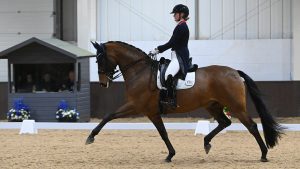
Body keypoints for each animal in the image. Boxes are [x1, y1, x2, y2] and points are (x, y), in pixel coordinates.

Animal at [86, 40, 284, 162]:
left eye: (100, 59)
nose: (103, 83)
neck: (139, 71)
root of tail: (235, 72)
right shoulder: (149, 111)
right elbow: (162, 132)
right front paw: (170, 155)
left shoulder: (138, 107)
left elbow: (110, 115)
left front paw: (90, 137)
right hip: (213, 106)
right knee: (224, 122)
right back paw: (206, 142)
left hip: (236, 106)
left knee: (251, 126)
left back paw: (264, 154)